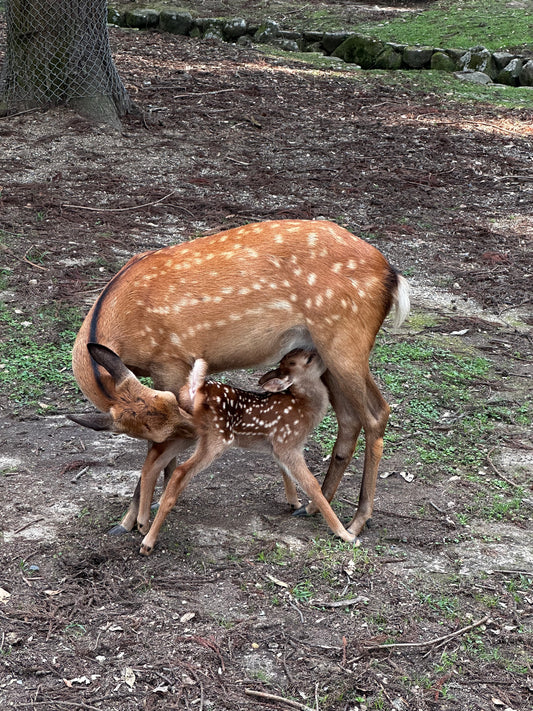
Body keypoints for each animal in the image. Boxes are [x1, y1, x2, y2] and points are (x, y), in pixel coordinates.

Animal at [70, 221, 410, 540]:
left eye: (173, 407)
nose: (199, 431)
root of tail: (392, 275)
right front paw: (139, 516)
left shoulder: (171, 361)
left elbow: (156, 455)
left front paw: (132, 521)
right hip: (323, 350)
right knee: (350, 419)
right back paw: (314, 506)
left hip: (345, 341)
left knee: (377, 413)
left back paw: (357, 520)